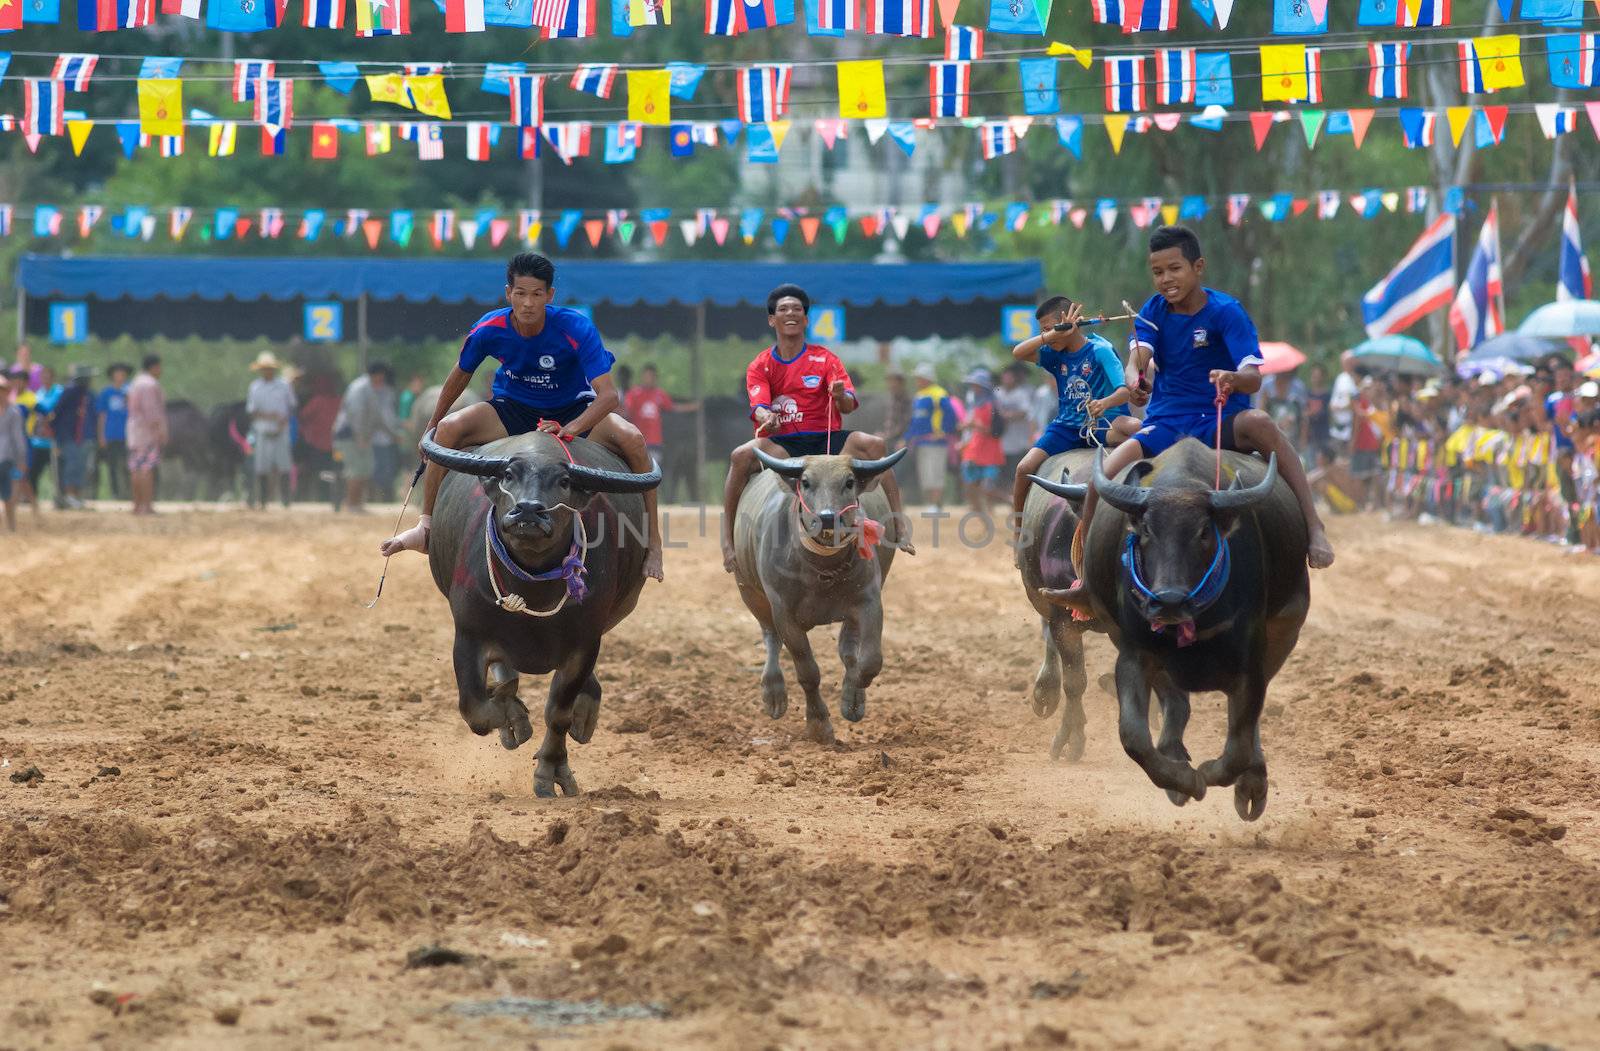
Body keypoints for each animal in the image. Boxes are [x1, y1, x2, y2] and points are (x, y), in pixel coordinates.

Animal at [419, 425, 662, 796]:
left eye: (563, 481)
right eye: (508, 475)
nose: (528, 510)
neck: (533, 584)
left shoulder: (585, 643)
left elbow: (558, 712)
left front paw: (552, 772)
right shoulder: (469, 633)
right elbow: (475, 709)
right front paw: (511, 715)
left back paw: (584, 713)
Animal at [732, 447, 908, 742]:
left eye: (849, 482)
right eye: (806, 482)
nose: (827, 517)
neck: (822, 569)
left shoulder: (869, 600)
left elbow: (870, 662)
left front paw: (853, 695)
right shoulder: (783, 611)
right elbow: (808, 671)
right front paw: (818, 724)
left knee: (848, 648)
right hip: (749, 593)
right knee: (770, 638)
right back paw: (774, 694)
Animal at [1030, 438, 1305, 825]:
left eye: (1205, 532)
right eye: (1144, 531)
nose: (1168, 601)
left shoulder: (1251, 660)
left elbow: (1239, 738)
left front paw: (1229, 779)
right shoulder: (1119, 645)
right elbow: (1129, 728)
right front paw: (1180, 778)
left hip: (1285, 627)